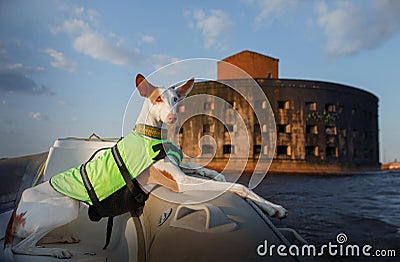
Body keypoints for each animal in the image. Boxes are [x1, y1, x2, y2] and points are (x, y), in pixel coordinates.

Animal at [2, 73, 284, 258]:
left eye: (176, 99)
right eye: (157, 99)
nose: (172, 117)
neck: (150, 135)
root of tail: (16, 210)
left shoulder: (180, 170)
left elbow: (207, 170)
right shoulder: (180, 182)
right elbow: (239, 187)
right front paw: (273, 207)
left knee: (31, 237)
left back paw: (62, 238)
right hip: (68, 207)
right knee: (21, 245)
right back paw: (58, 250)